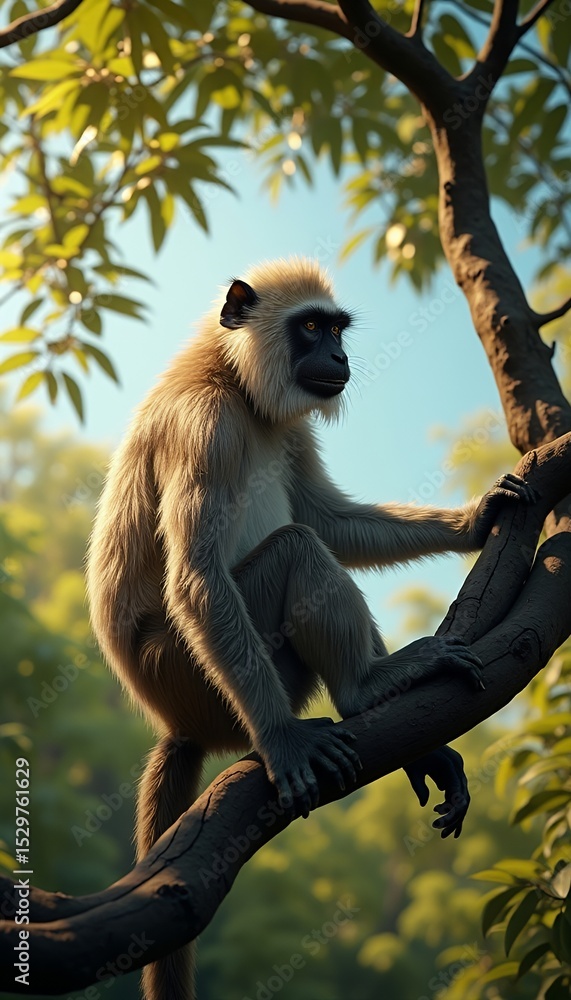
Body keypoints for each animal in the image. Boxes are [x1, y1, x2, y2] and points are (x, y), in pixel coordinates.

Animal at [86, 257, 535, 1000]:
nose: (338, 357)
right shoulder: (204, 424)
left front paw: (477, 519)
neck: (233, 384)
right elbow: (201, 578)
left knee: (309, 538)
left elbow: (329, 519)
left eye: (336, 330)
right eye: (312, 329)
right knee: (294, 550)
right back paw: (362, 690)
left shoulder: (285, 428)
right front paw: (282, 742)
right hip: (188, 670)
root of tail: (173, 719)